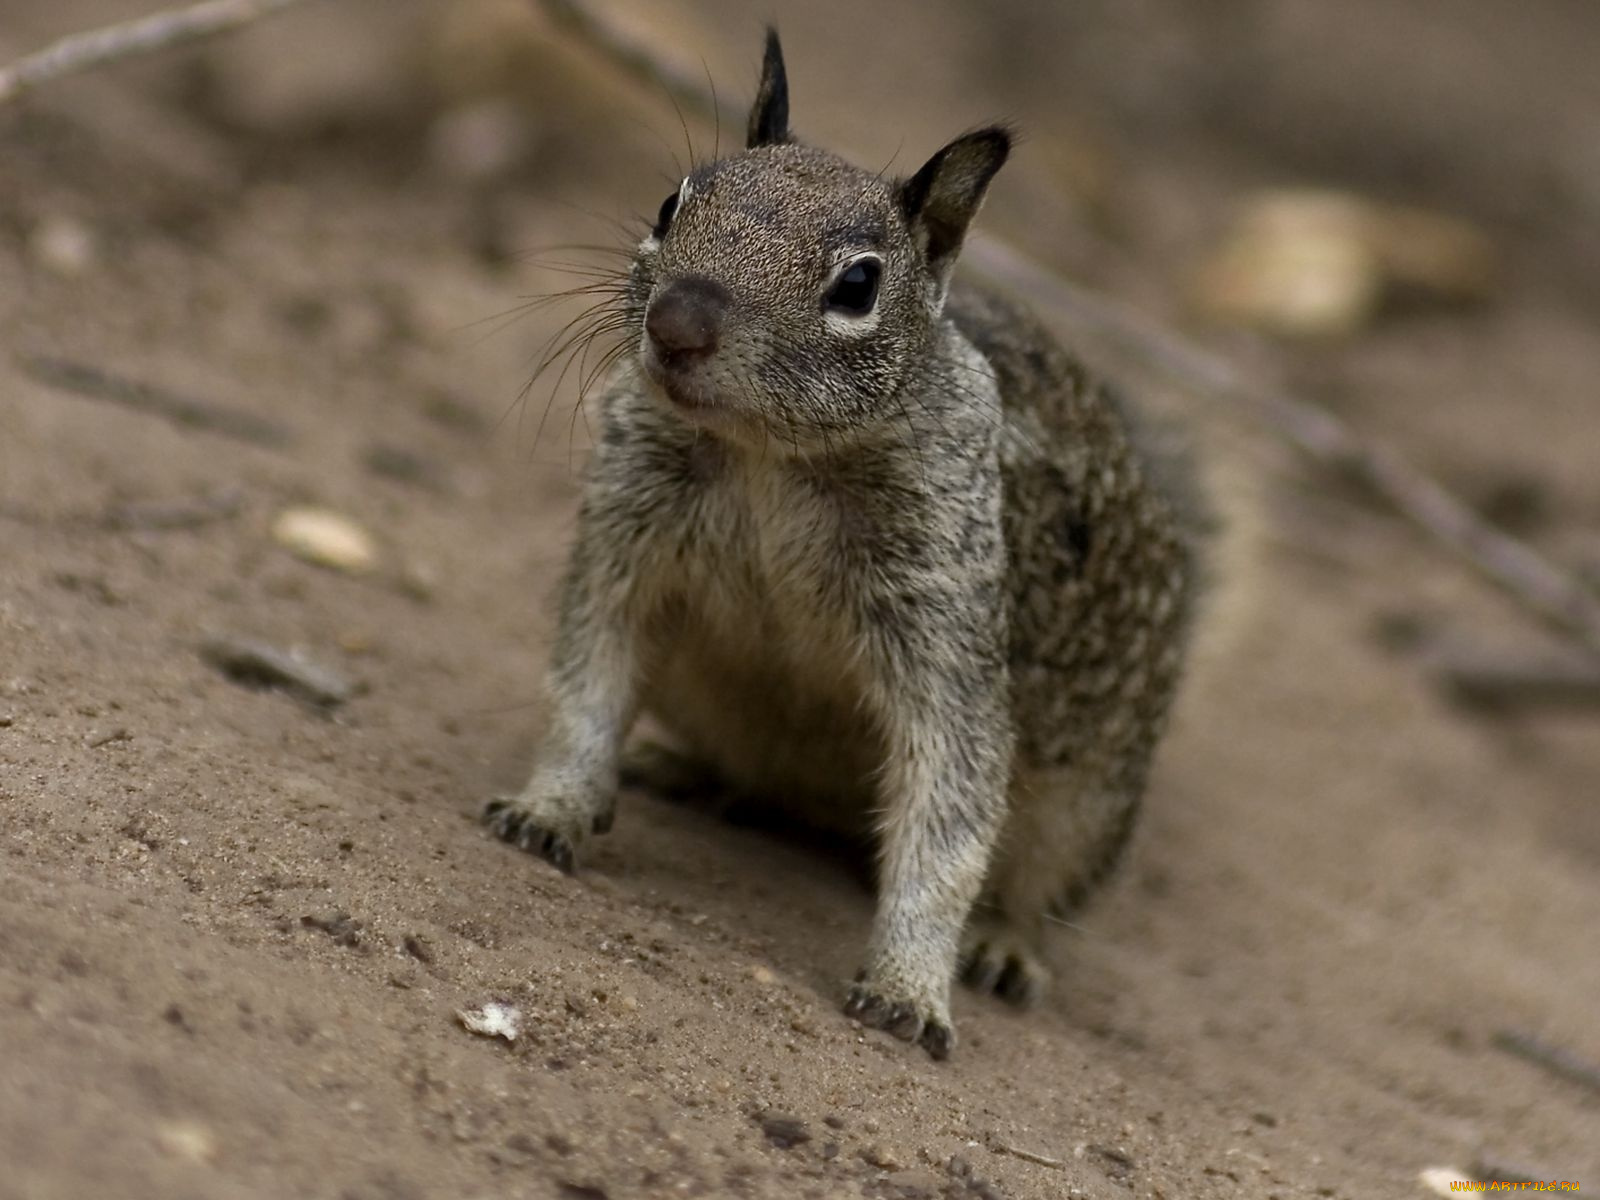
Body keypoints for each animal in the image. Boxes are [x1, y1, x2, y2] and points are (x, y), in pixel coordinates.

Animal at [480, 30, 1203, 1062]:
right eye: (671, 204)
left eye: (858, 285)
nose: (677, 322)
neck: (768, 460)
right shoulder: (625, 545)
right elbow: (585, 688)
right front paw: (550, 807)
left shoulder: (947, 624)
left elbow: (950, 815)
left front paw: (909, 987)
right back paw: (687, 772)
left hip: (1086, 804)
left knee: (1038, 888)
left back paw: (1004, 944)